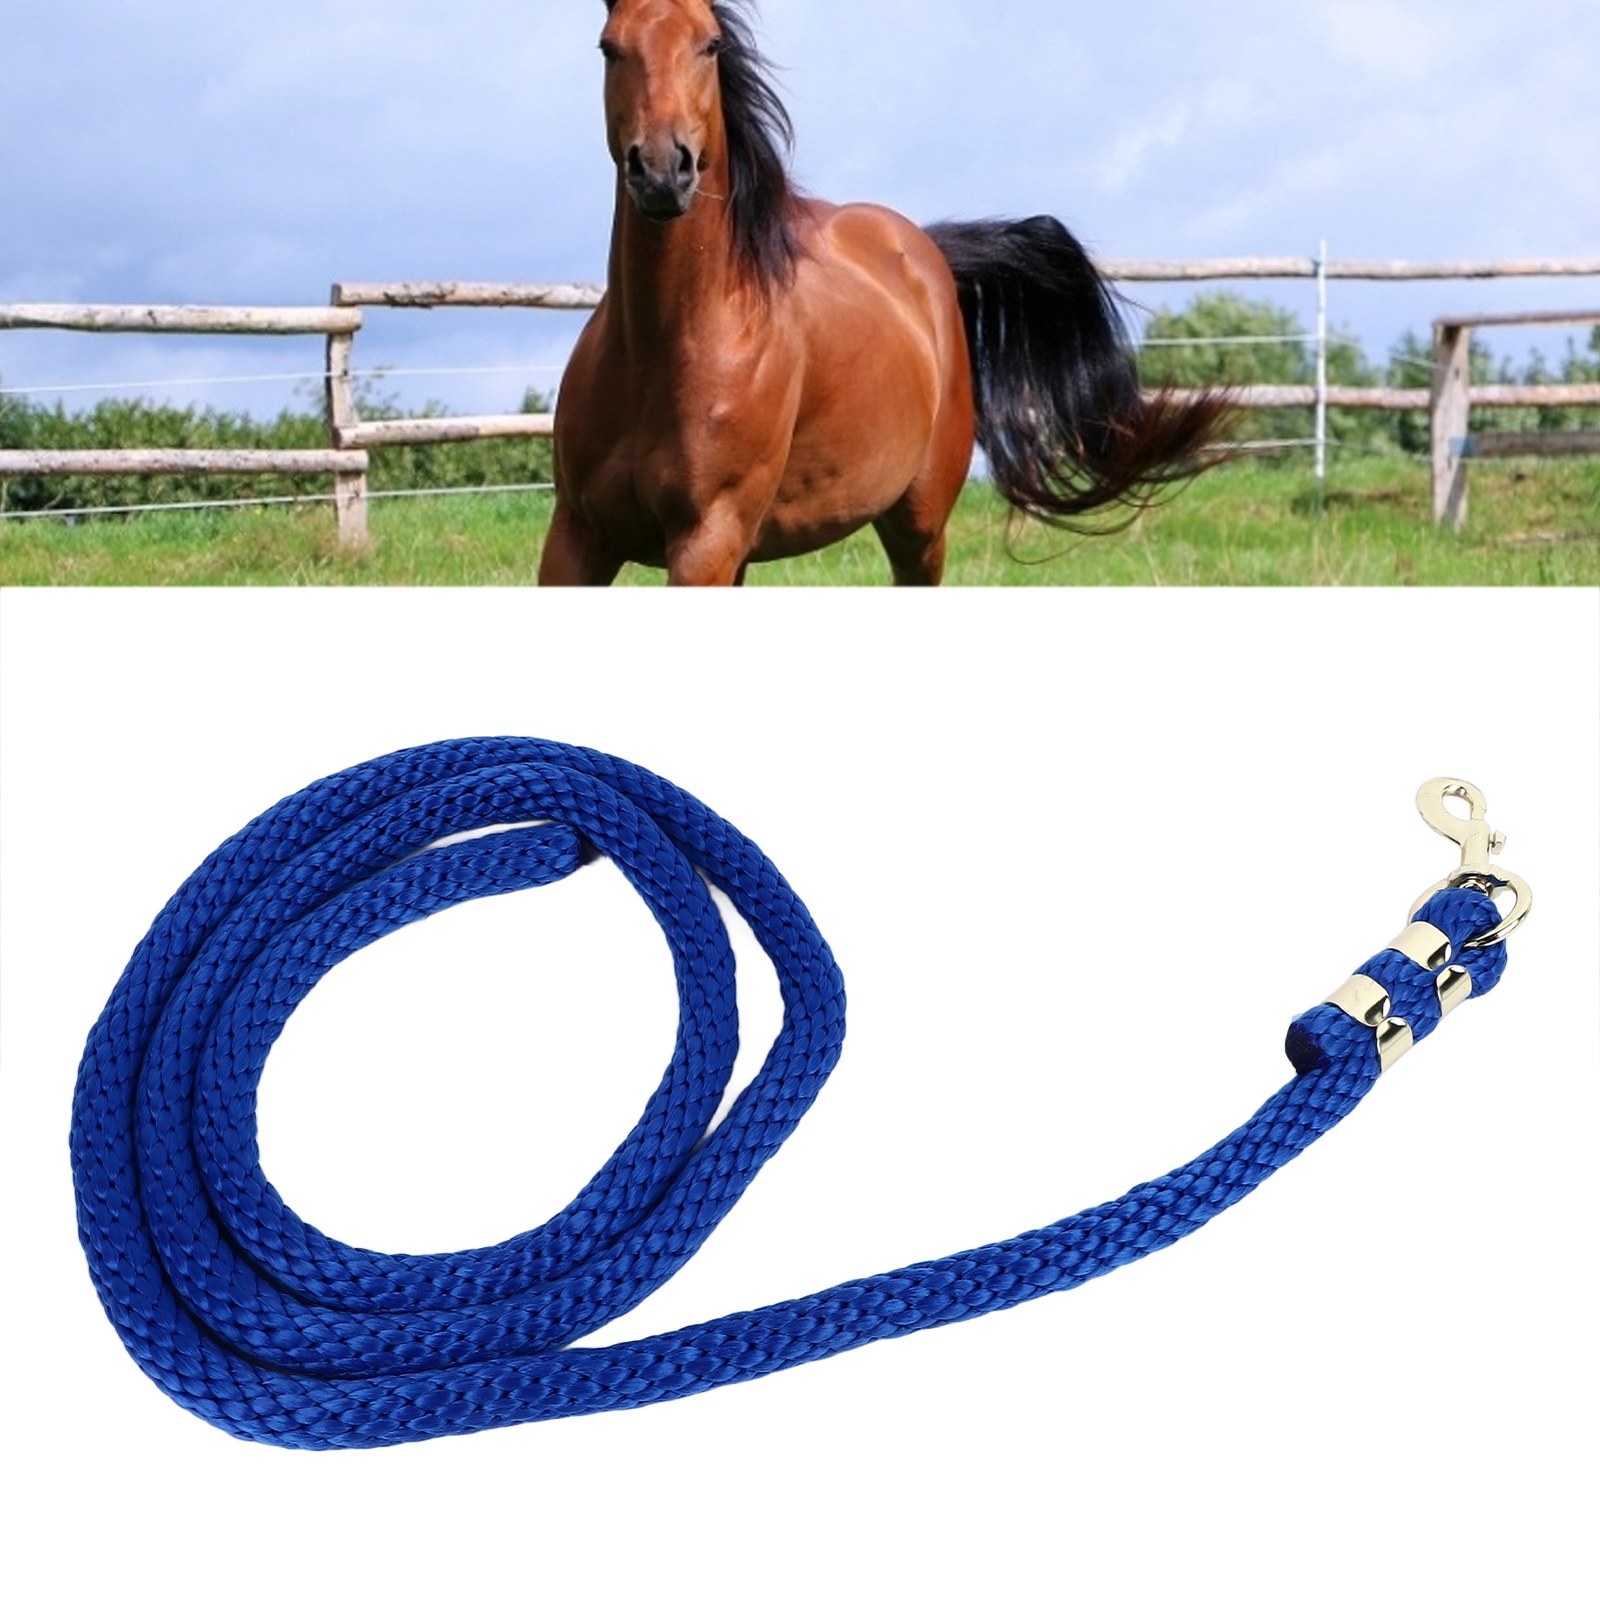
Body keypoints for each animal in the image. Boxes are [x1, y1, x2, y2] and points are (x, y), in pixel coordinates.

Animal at [541, 0, 1231, 587]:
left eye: (710, 45)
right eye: (609, 47)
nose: (662, 170)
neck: (661, 350)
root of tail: (924, 251)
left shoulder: (706, 540)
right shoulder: (579, 536)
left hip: (917, 525)